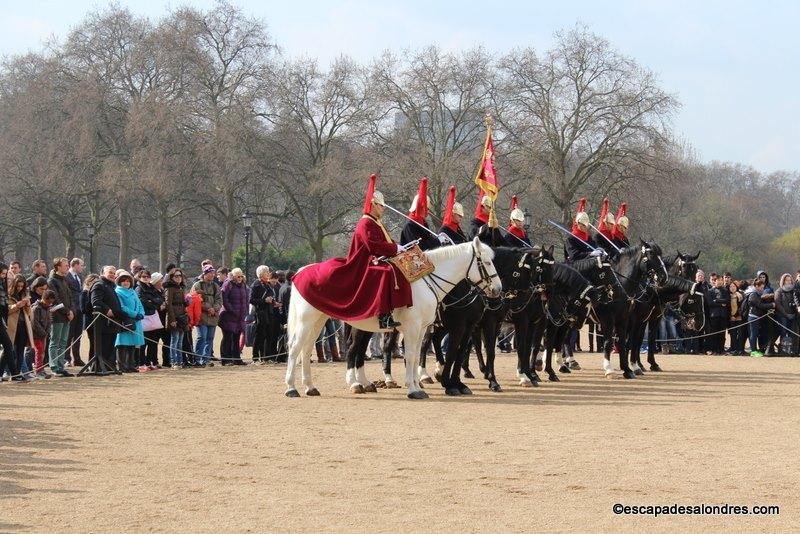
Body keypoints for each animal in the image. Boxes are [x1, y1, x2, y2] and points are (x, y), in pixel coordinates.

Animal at [286, 241, 500, 400]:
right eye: (487, 262)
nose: (498, 290)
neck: (426, 280)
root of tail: (301, 271)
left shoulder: (423, 328)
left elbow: (416, 356)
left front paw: (418, 385)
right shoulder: (418, 327)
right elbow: (413, 355)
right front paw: (414, 389)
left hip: (319, 320)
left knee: (309, 349)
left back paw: (312, 387)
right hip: (307, 320)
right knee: (297, 348)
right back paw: (293, 388)